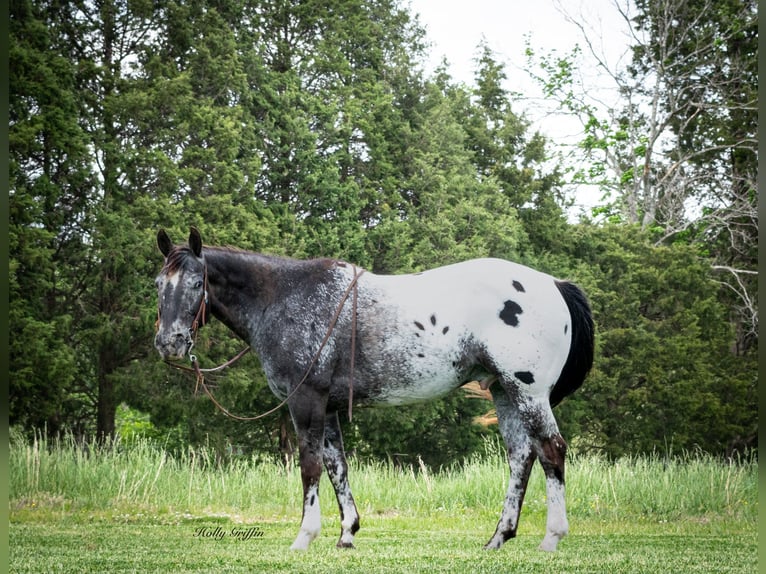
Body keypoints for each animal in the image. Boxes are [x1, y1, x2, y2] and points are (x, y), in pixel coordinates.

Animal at [152, 228, 592, 552]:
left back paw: (551, 538)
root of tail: (553, 283)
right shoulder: (327, 407)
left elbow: (310, 466)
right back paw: (498, 537)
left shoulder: (306, 401)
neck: (283, 299)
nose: (170, 343)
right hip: (505, 392)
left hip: (527, 393)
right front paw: (347, 533)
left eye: (197, 282)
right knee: (521, 457)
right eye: (158, 283)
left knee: (551, 451)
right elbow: (337, 467)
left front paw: (304, 537)